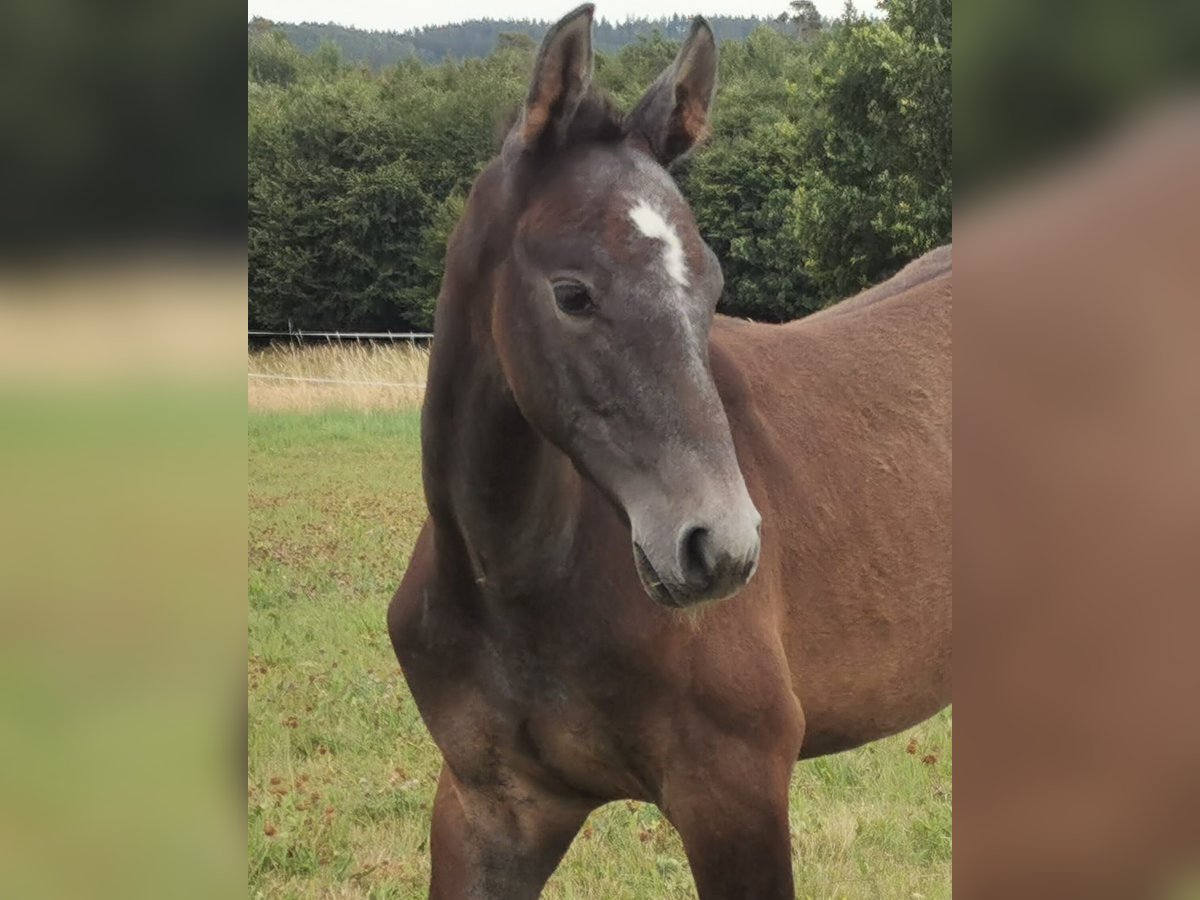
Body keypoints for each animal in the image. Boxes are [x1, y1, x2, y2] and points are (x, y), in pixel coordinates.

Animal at [388, 5, 950, 897]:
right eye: (572, 294)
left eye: (712, 288)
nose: (720, 548)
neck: (517, 580)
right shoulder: (492, 806)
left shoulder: (735, 792)